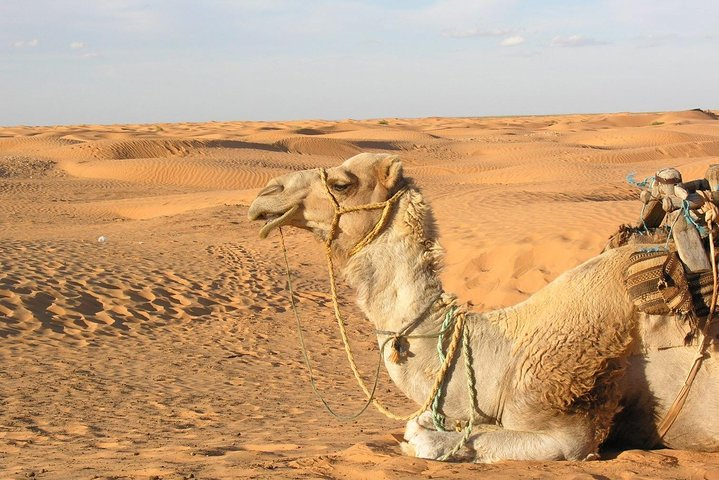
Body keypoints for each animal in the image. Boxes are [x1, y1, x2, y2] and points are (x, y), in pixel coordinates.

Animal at [248, 153, 719, 462]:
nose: (264, 196)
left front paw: (429, 436)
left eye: (342, 183)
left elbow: (425, 437)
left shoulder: (567, 423)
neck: (503, 348)